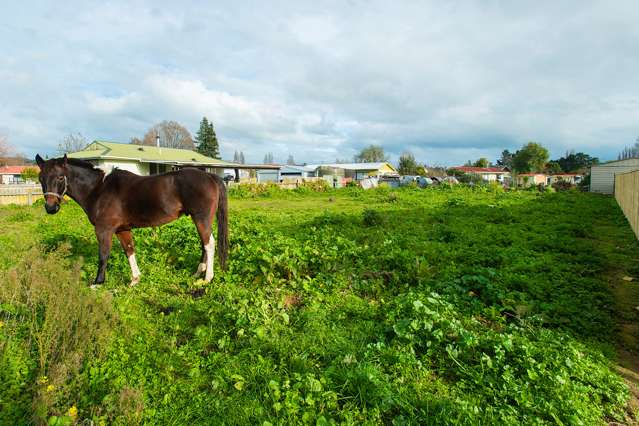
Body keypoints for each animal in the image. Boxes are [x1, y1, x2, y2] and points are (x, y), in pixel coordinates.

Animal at [34, 153, 230, 286]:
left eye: (60, 177)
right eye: (41, 178)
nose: (51, 208)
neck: (99, 189)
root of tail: (210, 175)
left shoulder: (104, 230)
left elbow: (103, 255)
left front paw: (97, 282)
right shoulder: (122, 229)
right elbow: (129, 250)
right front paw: (135, 279)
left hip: (201, 218)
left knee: (209, 244)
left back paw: (207, 278)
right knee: (204, 243)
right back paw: (199, 272)